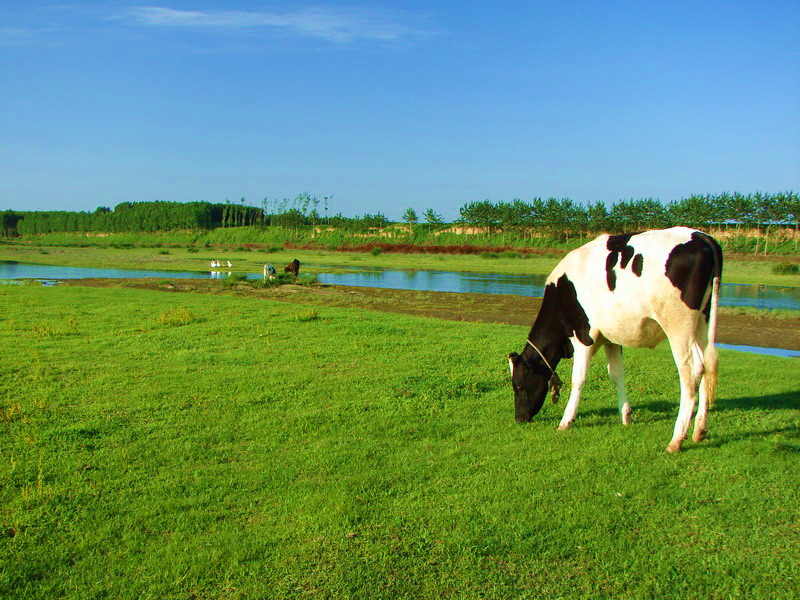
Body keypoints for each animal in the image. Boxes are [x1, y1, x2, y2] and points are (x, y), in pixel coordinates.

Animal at [506, 227, 724, 452]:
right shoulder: (610, 338)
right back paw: (699, 431)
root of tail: (702, 236)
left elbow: (579, 378)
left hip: (678, 325)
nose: (519, 418)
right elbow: (617, 374)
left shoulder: (583, 336)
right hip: (702, 322)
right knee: (705, 366)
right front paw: (625, 416)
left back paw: (676, 440)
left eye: (518, 386)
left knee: (690, 374)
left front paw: (566, 421)